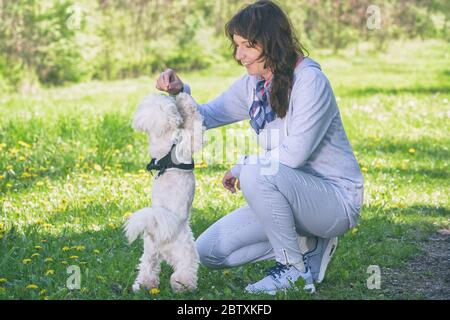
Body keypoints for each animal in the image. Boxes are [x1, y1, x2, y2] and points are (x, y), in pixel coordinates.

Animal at [125, 92, 205, 292]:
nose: (168, 93)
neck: (164, 138)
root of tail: (157, 231)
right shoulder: (189, 140)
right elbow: (195, 123)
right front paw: (184, 99)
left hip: (149, 253)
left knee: (147, 269)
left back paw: (143, 286)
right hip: (186, 251)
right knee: (184, 270)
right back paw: (184, 287)